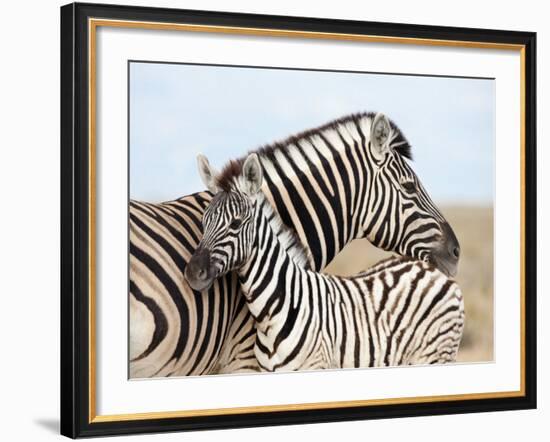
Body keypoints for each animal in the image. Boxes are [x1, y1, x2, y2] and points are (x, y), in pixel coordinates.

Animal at [185, 154, 466, 372]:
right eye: (203, 222)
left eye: (235, 224)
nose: (192, 272)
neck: (277, 309)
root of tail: (435, 271)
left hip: (435, 355)